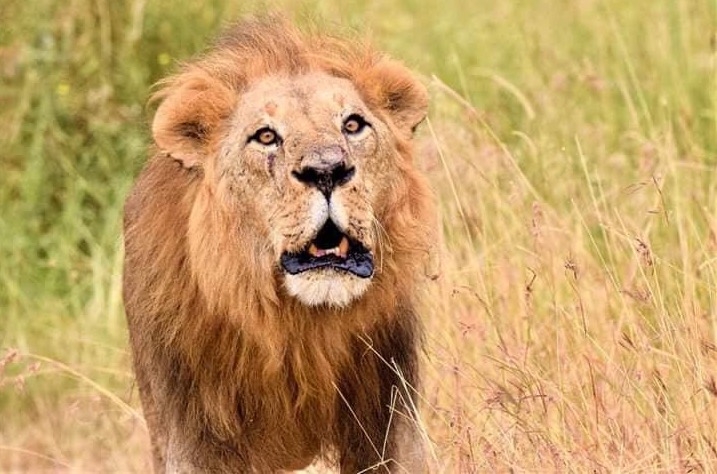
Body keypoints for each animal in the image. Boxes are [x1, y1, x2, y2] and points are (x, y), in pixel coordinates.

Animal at [122, 15, 434, 474]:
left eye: (353, 124)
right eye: (266, 136)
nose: (326, 170)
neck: (299, 329)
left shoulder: (389, 416)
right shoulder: (192, 435)